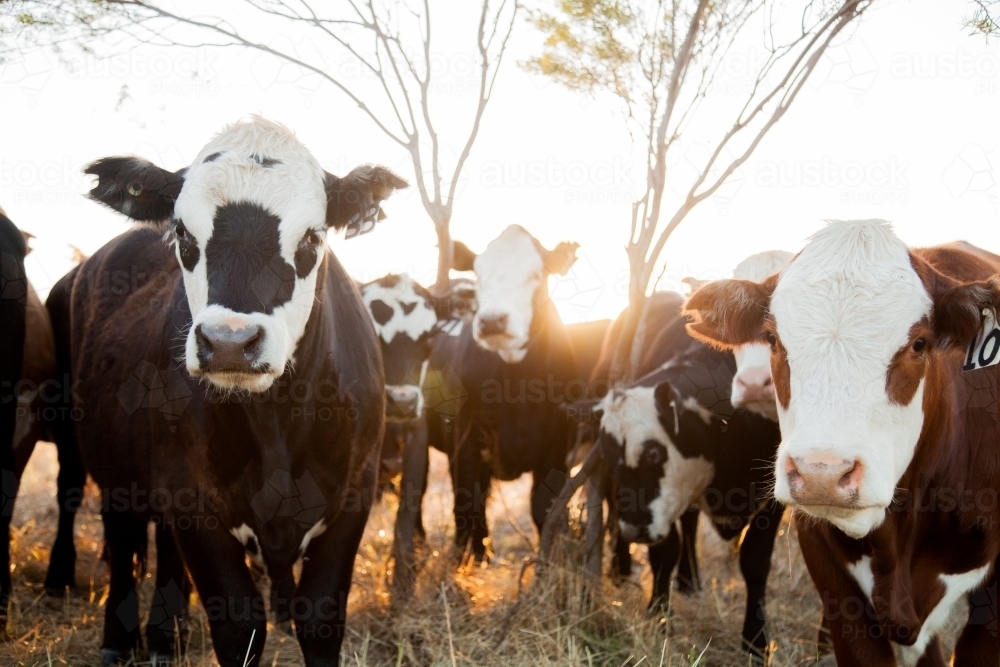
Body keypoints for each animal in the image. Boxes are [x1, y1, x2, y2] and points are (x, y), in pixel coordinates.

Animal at [69, 117, 406, 666]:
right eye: (183, 234)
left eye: (312, 237)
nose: (229, 342)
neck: (276, 427)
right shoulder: (191, 499)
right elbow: (238, 624)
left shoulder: (356, 493)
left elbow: (319, 618)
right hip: (112, 470)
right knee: (122, 543)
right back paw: (119, 643)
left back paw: (165, 639)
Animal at [593, 290, 783, 661]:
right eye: (610, 454)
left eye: (654, 453)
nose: (635, 527)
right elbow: (663, 552)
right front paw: (658, 615)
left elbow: (755, 560)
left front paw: (755, 639)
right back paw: (623, 567)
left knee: (691, 521)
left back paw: (689, 579)